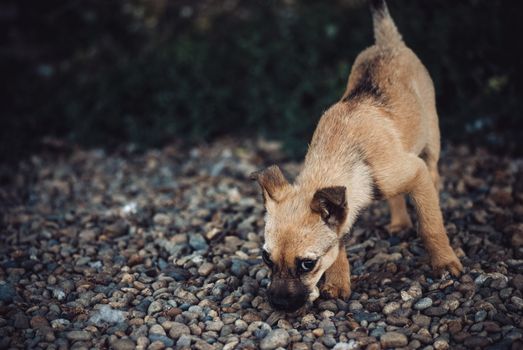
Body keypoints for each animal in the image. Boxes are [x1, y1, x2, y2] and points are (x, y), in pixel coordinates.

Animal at [252, 0, 464, 312]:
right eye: (266, 258)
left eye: (307, 264)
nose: (278, 304)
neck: (341, 157)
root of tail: (387, 42)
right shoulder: (343, 211)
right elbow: (339, 242)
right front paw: (338, 283)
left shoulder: (416, 171)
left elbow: (429, 226)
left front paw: (444, 262)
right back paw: (399, 223)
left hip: (430, 145)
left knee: (434, 178)